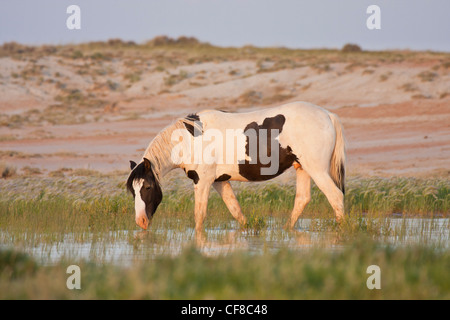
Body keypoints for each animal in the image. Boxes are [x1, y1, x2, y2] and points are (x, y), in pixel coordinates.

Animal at [128, 101, 346, 231]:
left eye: (148, 187)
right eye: (132, 191)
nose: (141, 221)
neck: (190, 140)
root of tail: (328, 115)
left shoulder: (203, 181)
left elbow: (199, 216)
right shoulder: (219, 181)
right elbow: (236, 211)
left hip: (317, 169)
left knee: (335, 196)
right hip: (302, 168)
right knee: (302, 199)